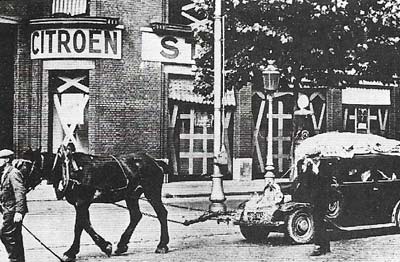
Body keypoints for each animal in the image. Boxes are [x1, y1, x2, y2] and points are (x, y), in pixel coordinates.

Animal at [23, 146, 169, 260]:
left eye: (26, 166)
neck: (68, 168)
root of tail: (154, 161)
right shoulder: (80, 204)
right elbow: (83, 225)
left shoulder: (82, 202)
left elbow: (81, 226)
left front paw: (101, 247)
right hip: (131, 196)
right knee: (136, 216)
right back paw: (121, 245)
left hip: (152, 192)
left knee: (162, 213)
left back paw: (162, 245)